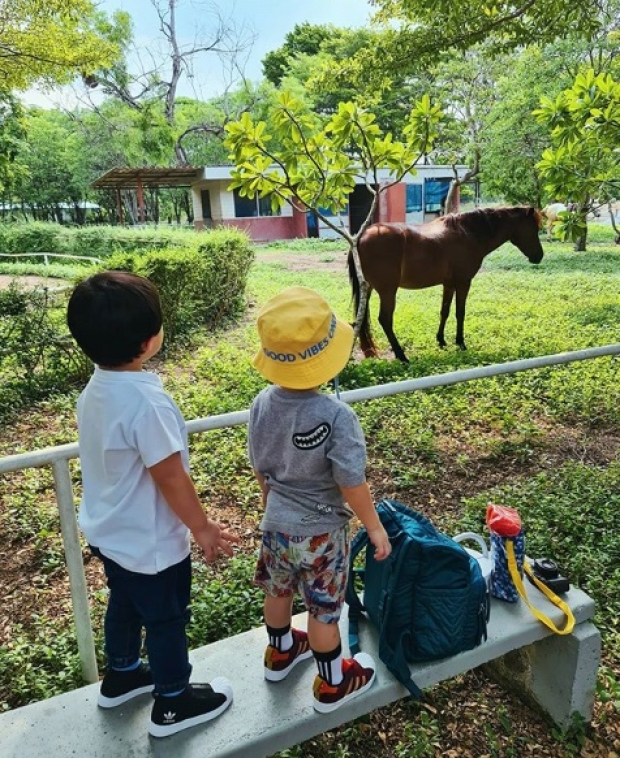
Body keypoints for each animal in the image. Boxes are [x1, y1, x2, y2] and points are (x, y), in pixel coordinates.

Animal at [348, 206, 544, 364]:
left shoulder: (449, 284)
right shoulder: (464, 282)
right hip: (388, 291)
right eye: (533, 228)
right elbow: (460, 313)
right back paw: (402, 356)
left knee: (362, 318)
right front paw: (460, 343)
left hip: (368, 289)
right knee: (385, 320)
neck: (469, 233)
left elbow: (445, 311)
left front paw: (441, 340)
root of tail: (362, 236)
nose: (539, 256)